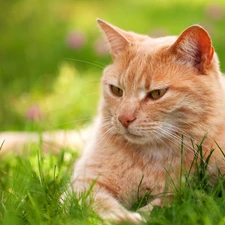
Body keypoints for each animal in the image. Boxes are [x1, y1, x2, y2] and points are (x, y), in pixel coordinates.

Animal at [71, 19, 225, 223]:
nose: (123, 118)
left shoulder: (202, 189)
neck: (154, 157)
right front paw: (123, 218)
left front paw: (139, 216)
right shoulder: (85, 184)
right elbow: (101, 204)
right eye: (116, 90)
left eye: (157, 93)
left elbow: (169, 202)